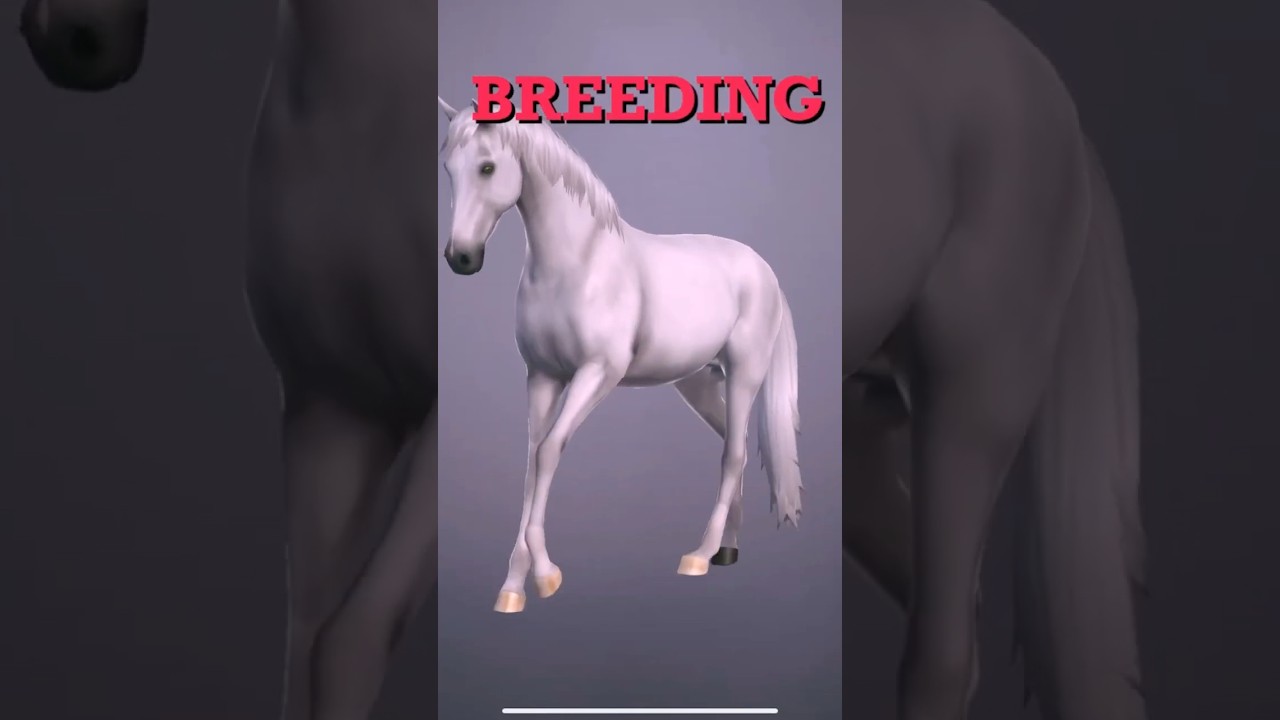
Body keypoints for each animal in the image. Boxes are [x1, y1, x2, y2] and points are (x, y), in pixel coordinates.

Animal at [437, 98, 805, 615]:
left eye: (487, 167)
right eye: (448, 168)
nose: (461, 258)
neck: (577, 264)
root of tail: (763, 269)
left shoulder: (597, 374)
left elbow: (549, 452)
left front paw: (546, 576)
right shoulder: (542, 378)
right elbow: (531, 464)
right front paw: (512, 587)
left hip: (745, 375)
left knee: (732, 455)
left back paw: (699, 554)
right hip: (699, 383)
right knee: (737, 447)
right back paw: (726, 550)